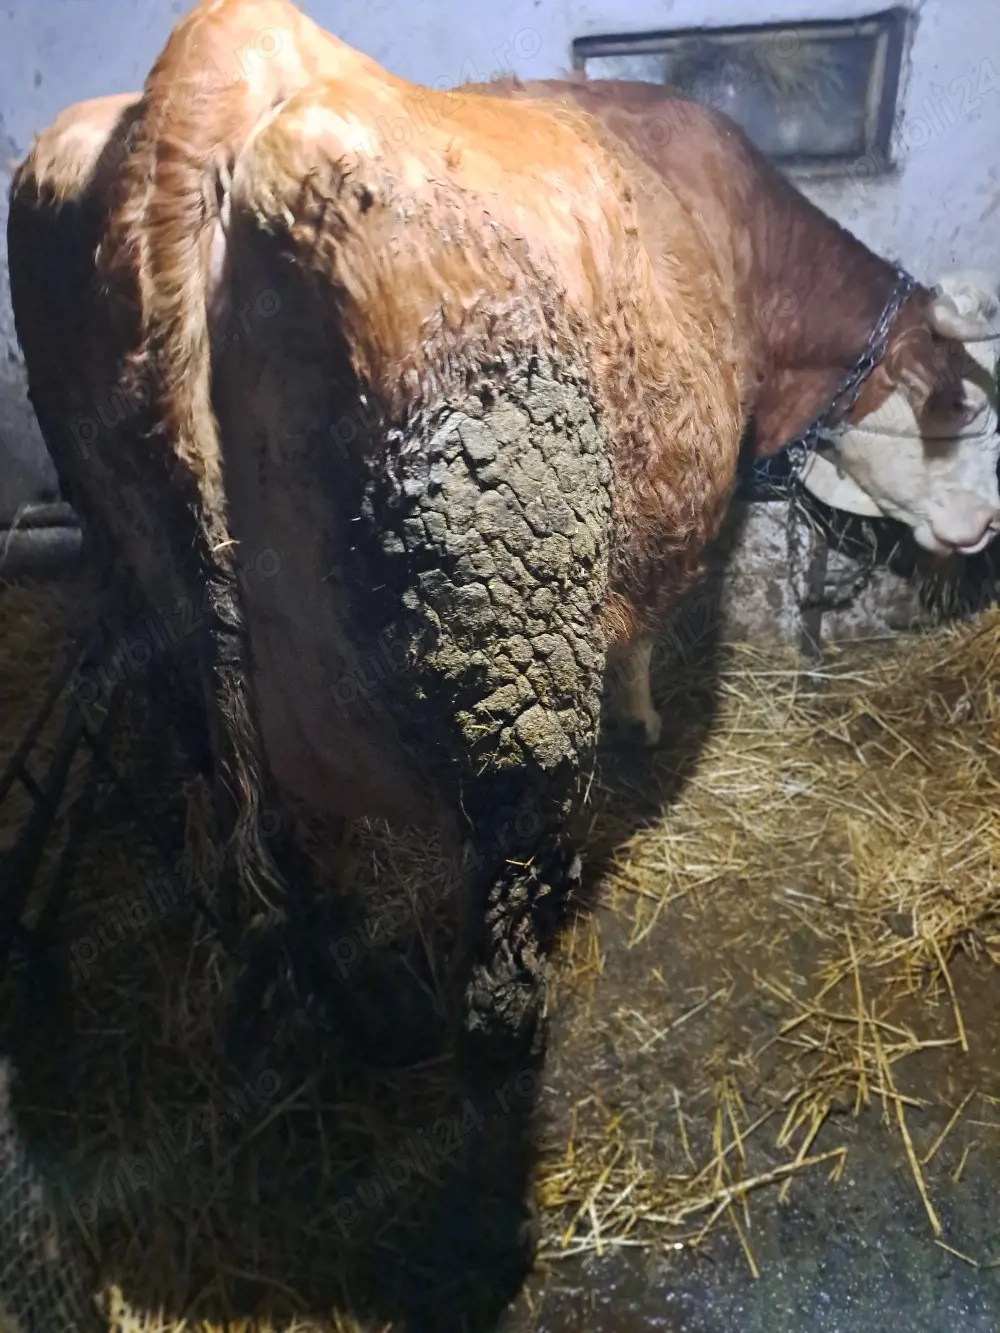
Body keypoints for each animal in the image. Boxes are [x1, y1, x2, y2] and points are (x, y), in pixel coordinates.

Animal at [6, 0, 744, 1219]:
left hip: (157, 601)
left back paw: (376, 1025)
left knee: (293, 870)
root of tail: (215, 64)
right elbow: (640, 638)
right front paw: (645, 719)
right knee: (497, 941)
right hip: (512, 642)